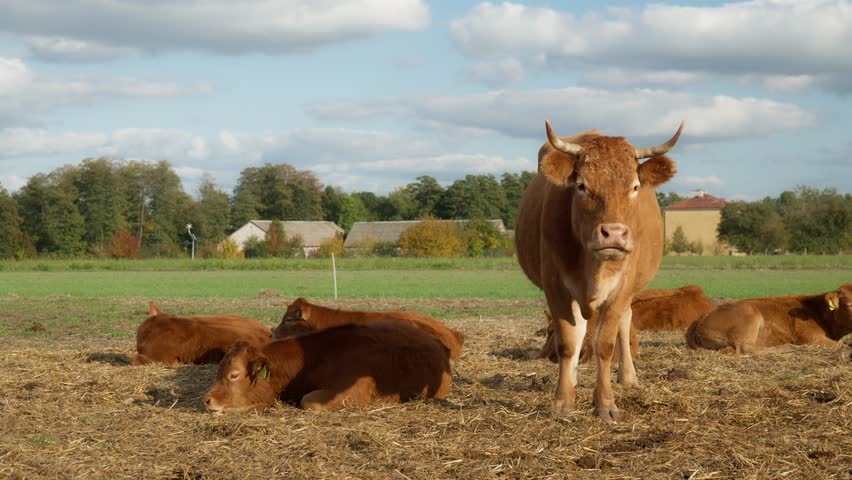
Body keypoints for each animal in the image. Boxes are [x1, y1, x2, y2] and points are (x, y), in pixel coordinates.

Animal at [515, 120, 683, 421]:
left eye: (635, 186)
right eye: (582, 186)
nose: (614, 234)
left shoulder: (620, 289)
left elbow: (604, 345)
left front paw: (605, 403)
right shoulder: (556, 287)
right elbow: (567, 342)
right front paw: (562, 400)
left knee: (625, 321)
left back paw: (627, 376)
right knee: (579, 330)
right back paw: (572, 377)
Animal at [686, 283, 852, 354]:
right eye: (849, 304)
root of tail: (703, 317)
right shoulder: (811, 338)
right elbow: (841, 346)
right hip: (749, 314)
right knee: (745, 348)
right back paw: (786, 348)